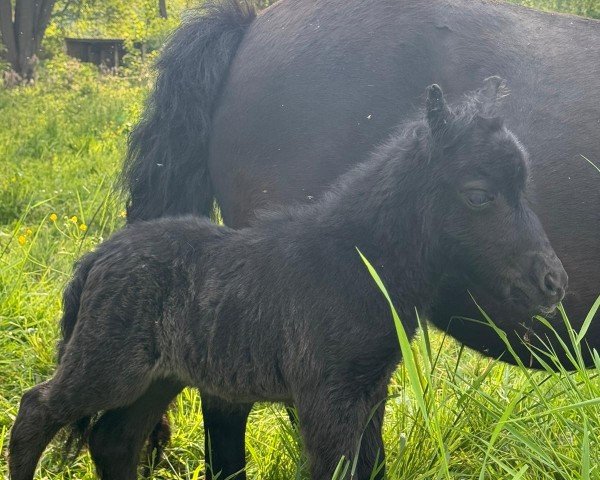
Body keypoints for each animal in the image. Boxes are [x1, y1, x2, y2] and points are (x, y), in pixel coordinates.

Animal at [9, 80, 568, 478]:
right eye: (479, 195)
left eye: (524, 186)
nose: (553, 282)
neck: (357, 261)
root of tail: (96, 258)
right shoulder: (326, 397)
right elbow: (335, 470)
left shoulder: (369, 391)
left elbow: (371, 468)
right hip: (109, 364)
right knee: (37, 410)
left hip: (159, 375)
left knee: (115, 441)